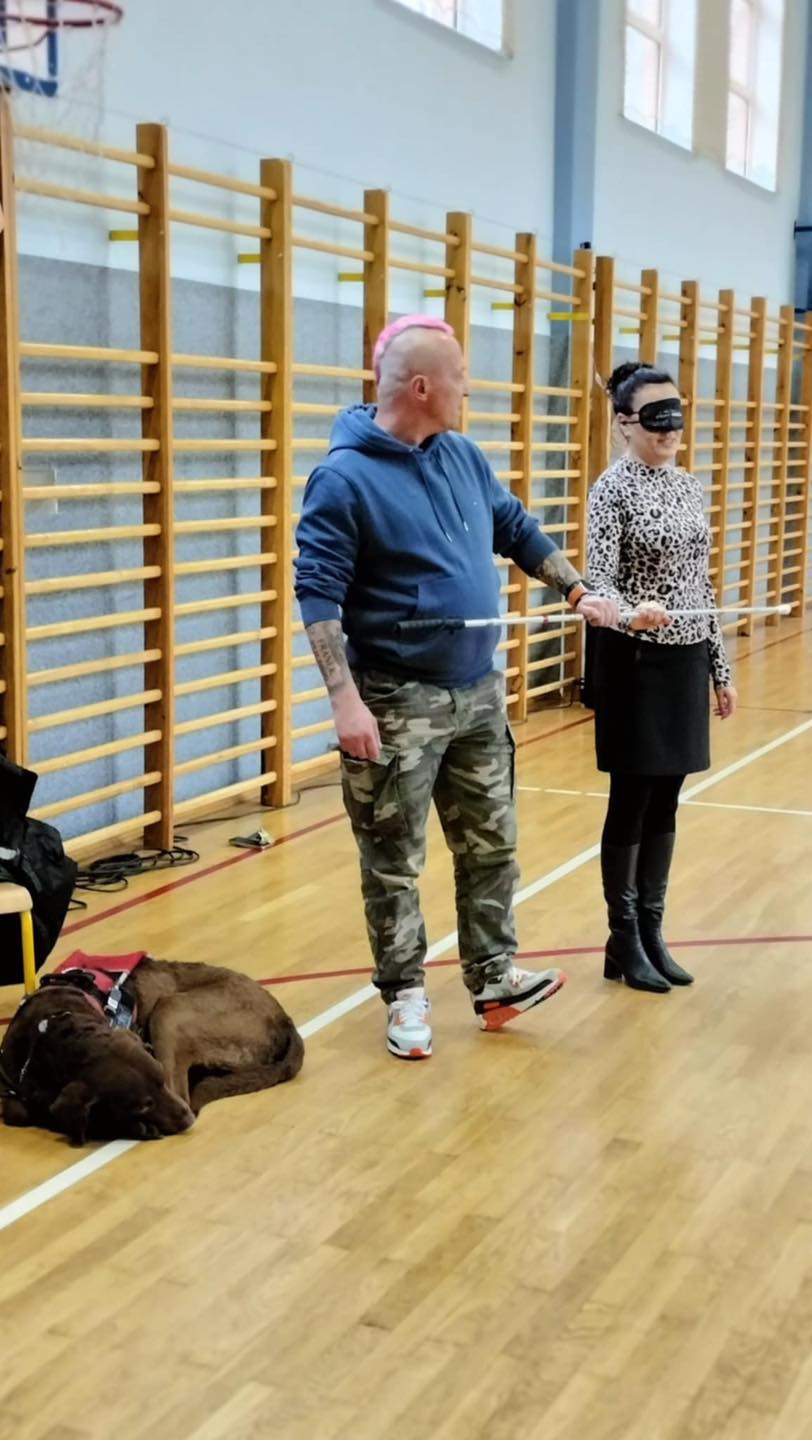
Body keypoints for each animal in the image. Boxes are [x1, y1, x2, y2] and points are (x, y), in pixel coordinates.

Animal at [0, 955, 304, 1145]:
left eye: (158, 1084)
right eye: (142, 1105)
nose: (186, 1122)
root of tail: (283, 1018)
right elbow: (17, 1110)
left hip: (170, 1011)